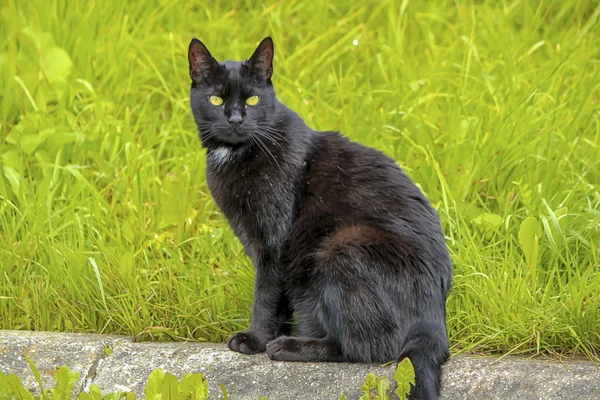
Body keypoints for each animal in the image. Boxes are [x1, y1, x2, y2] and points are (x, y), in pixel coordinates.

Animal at [188, 37, 450, 400]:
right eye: (216, 99)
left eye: (252, 99)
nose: (236, 119)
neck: (237, 153)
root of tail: (435, 319)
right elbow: (279, 300)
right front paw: (265, 336)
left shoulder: (273, 244)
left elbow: (265, 295)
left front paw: (255, 340)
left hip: (341, 247)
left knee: (370, 348)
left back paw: (291, 347)